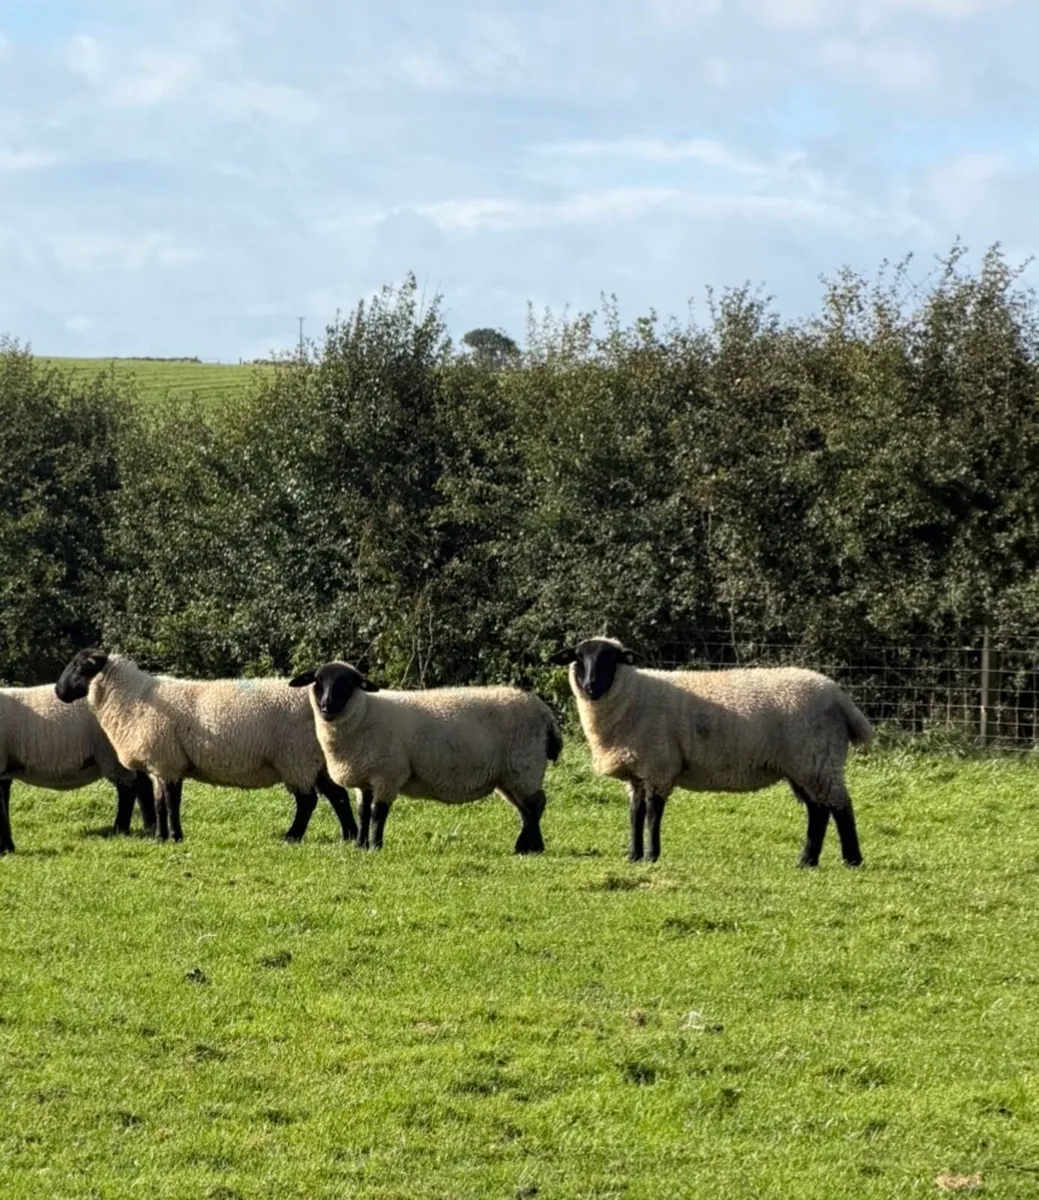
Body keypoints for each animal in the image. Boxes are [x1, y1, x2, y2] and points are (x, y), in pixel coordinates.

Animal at [1, 684, 156, 854]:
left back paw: (120, 830)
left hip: (111, 752)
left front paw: (6, 849)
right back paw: (150, 826)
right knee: (143, 785)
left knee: (128, 788)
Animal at [53, 649, 358, 844]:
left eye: (81, 666)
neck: (134, 698)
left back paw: (292, 836)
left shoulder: (167, 761)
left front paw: (174, 837)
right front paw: (161, 837)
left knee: (308, 800)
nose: (58, 691)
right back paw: (349, 836)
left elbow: (170, 802)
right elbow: (161, 802)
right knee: (338, 796)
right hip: (316, 760)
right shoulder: (163, 763)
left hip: (296, 757)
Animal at [287, 661, 563, 854]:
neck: (365, 714)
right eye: (318, 681)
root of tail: (546, 714)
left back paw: (530, 847)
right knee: (525, 808)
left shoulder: (388, 774)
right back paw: (528, 845)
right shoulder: (365, 777)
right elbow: (363, 812)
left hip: (524, 764)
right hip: (510, 775)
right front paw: (360, 845)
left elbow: (378, 813)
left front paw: (375, 846)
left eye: (346, 683)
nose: (326, 706)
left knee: (536, 804)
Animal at [549, 637, 871, 868]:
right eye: (579, 658)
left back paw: (851, 859)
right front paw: (633, 855)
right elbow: (635, 814)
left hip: (817, 758)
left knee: (841, 807)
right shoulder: (638, 773)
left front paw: (651, 856)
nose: (590, 686)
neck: (633, 695)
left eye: (610, 659)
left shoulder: (658, 766)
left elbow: (653, 814)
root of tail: (840, 698)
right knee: (819, 810)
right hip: (804, 765)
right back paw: (807, 860)